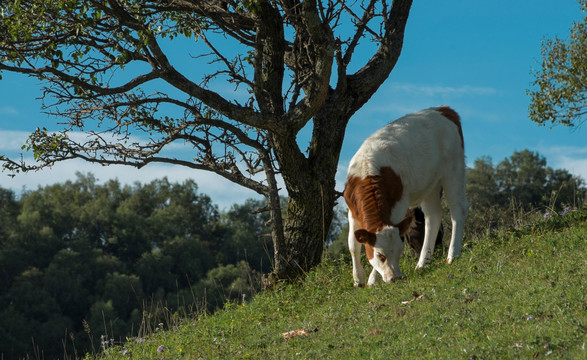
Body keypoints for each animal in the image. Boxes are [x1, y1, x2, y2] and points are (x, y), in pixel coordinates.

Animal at [342, 105, 466, 286]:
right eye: (380, 255)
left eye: (399, 251)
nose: (395, 278)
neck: (367, 172)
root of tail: (443, 109)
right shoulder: (352, 211)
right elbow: (353, 244)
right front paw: (358, 279)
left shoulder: (399, 205)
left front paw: (372, 280)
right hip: (430, 184)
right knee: (433, 216)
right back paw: (422, 263)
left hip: (453, 168)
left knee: (457, 209)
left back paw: (453, 255)